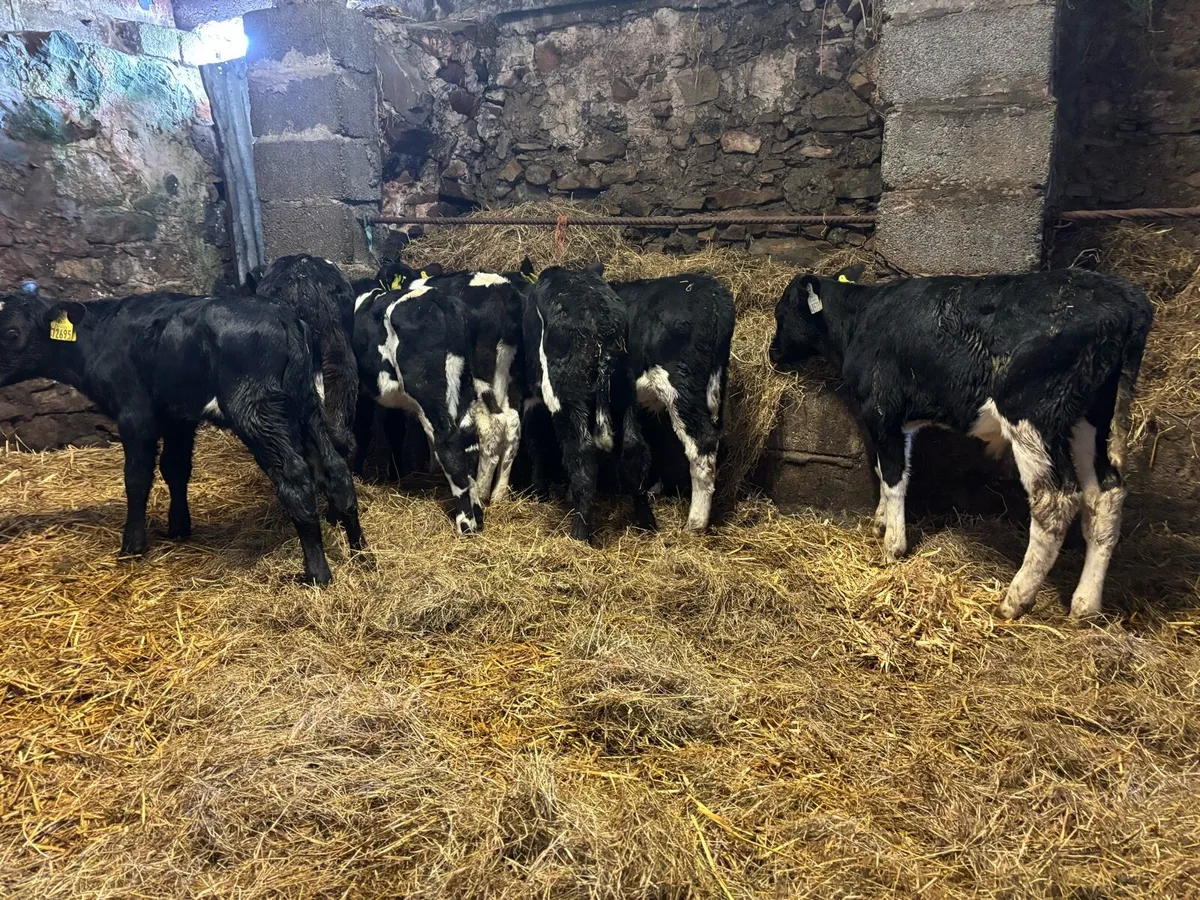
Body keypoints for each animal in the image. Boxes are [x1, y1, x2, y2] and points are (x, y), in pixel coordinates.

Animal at [0, 286, 368, 585]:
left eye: (12, 333)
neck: (99, 338)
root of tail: (284, 315)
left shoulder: (135, 413)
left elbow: (137, 478)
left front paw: (132, 545)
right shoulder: (179, 417)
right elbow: (175, 469)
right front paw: (178, 527)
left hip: (254, 408)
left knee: (295, 475)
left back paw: (317, 573)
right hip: (306, 401)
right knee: (336, 466)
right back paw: (360, 551)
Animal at [351, 280, 484, 533]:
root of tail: (438, 299)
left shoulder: (361, 392)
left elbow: (361, 430)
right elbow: (394, 430)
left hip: (428, 393)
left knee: (449, 443)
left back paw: (465, 522)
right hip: (463, 388)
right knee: (470, 444)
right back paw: (478, 515)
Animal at [523, 264, 628, 542]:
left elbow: (535, 439)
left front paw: (538, 490)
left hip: (564, 396)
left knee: (582, 455)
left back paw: (578, 533)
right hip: (623, 396)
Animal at [769, 266, 1154, 619]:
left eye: (781, 312)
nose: (772, 352)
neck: (859, 320)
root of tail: (1126, 300)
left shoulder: (881, 411)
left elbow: (892, 477)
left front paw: (893, 546)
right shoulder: (901, 423)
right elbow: (887, 469)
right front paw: (881, 521)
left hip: (1033, 416)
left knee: (1055, 500)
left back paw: (1015, 599)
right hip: (1093, 416)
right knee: (1105, 493)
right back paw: (1085, 604)